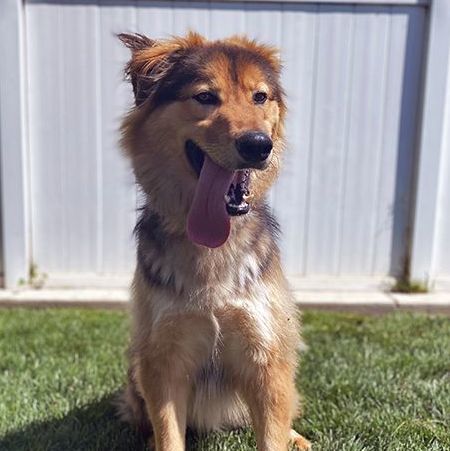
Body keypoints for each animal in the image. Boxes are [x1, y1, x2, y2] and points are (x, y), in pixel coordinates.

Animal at [118, 32, 312, 451]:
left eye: (260, 97)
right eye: (205, 96)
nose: (258, 145)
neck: (212, 247)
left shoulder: (265, 354)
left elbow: (272, 433)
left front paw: (285, 436)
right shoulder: (163, 359)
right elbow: (169, 434)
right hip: (136, 371)